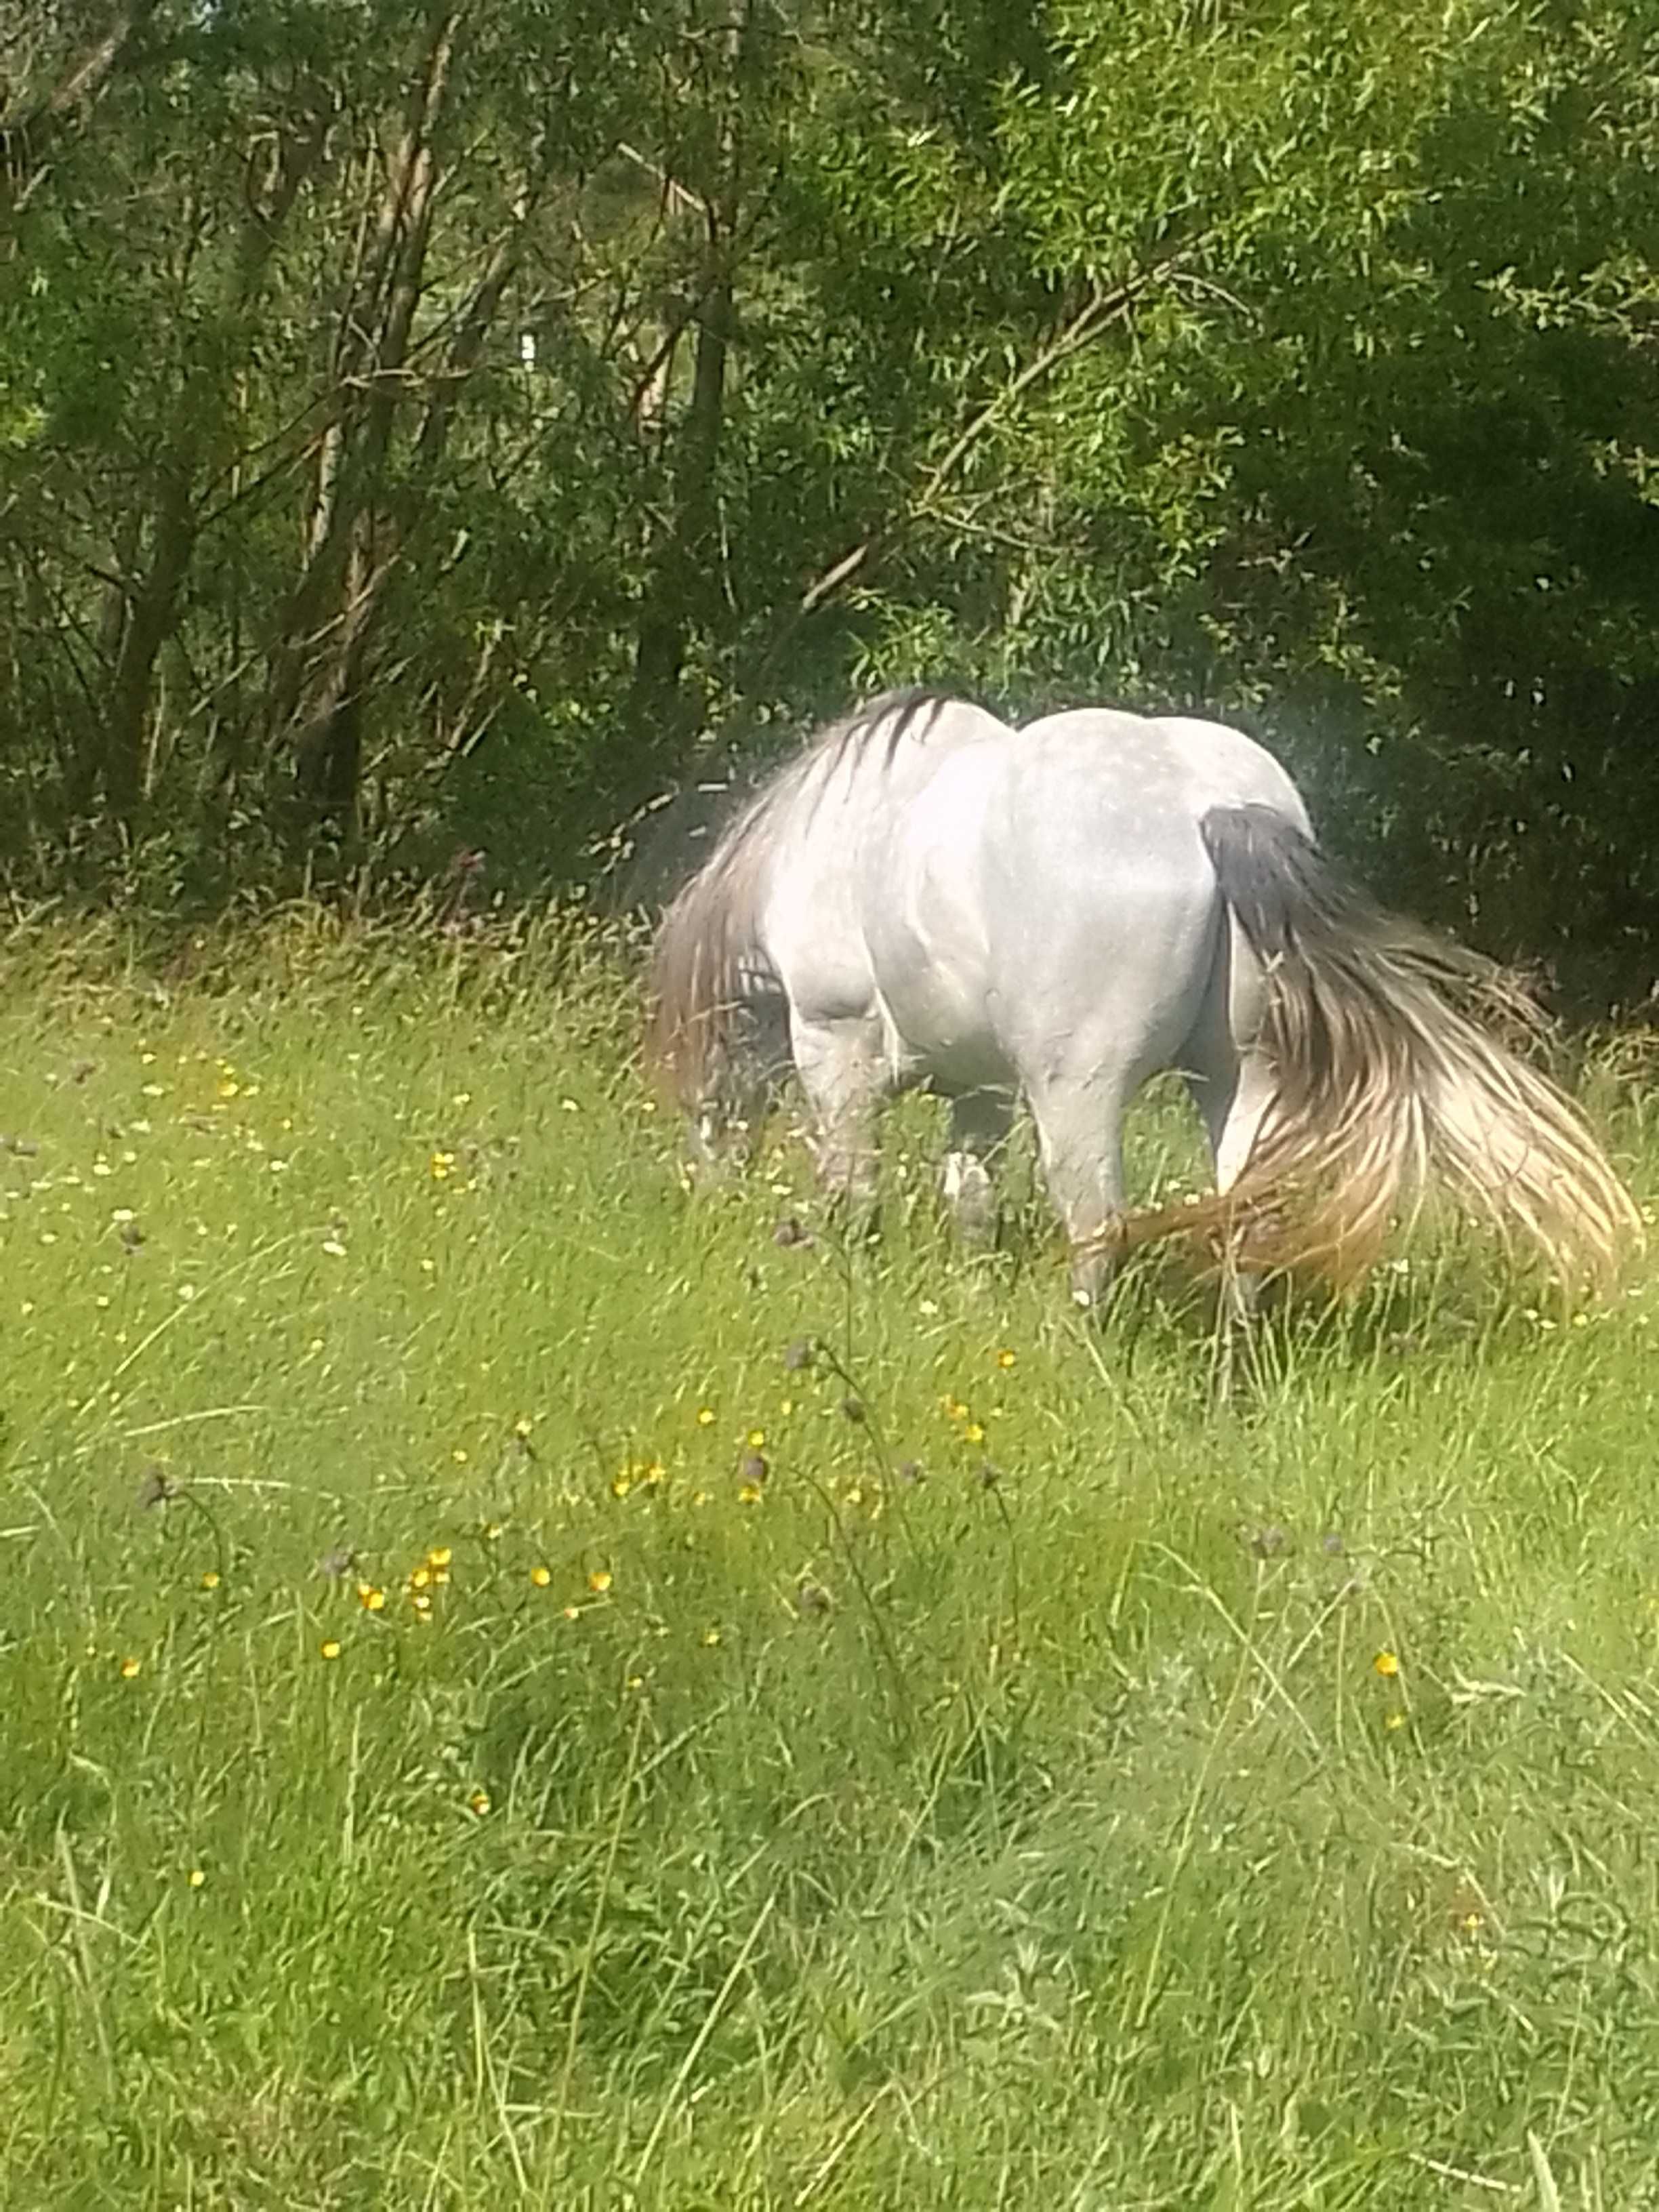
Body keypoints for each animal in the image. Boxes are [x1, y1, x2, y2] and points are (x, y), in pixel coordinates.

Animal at [646, 694, 1637, 1292]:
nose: (703, 1192)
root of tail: (1210, 806)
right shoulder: (980, 1086)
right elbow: (971, 1195)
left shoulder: (835, 1044)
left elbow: (855, 1188)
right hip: (1239, 1079)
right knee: (1244, 1213)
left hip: (1079, 1092)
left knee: (1097, 1223)